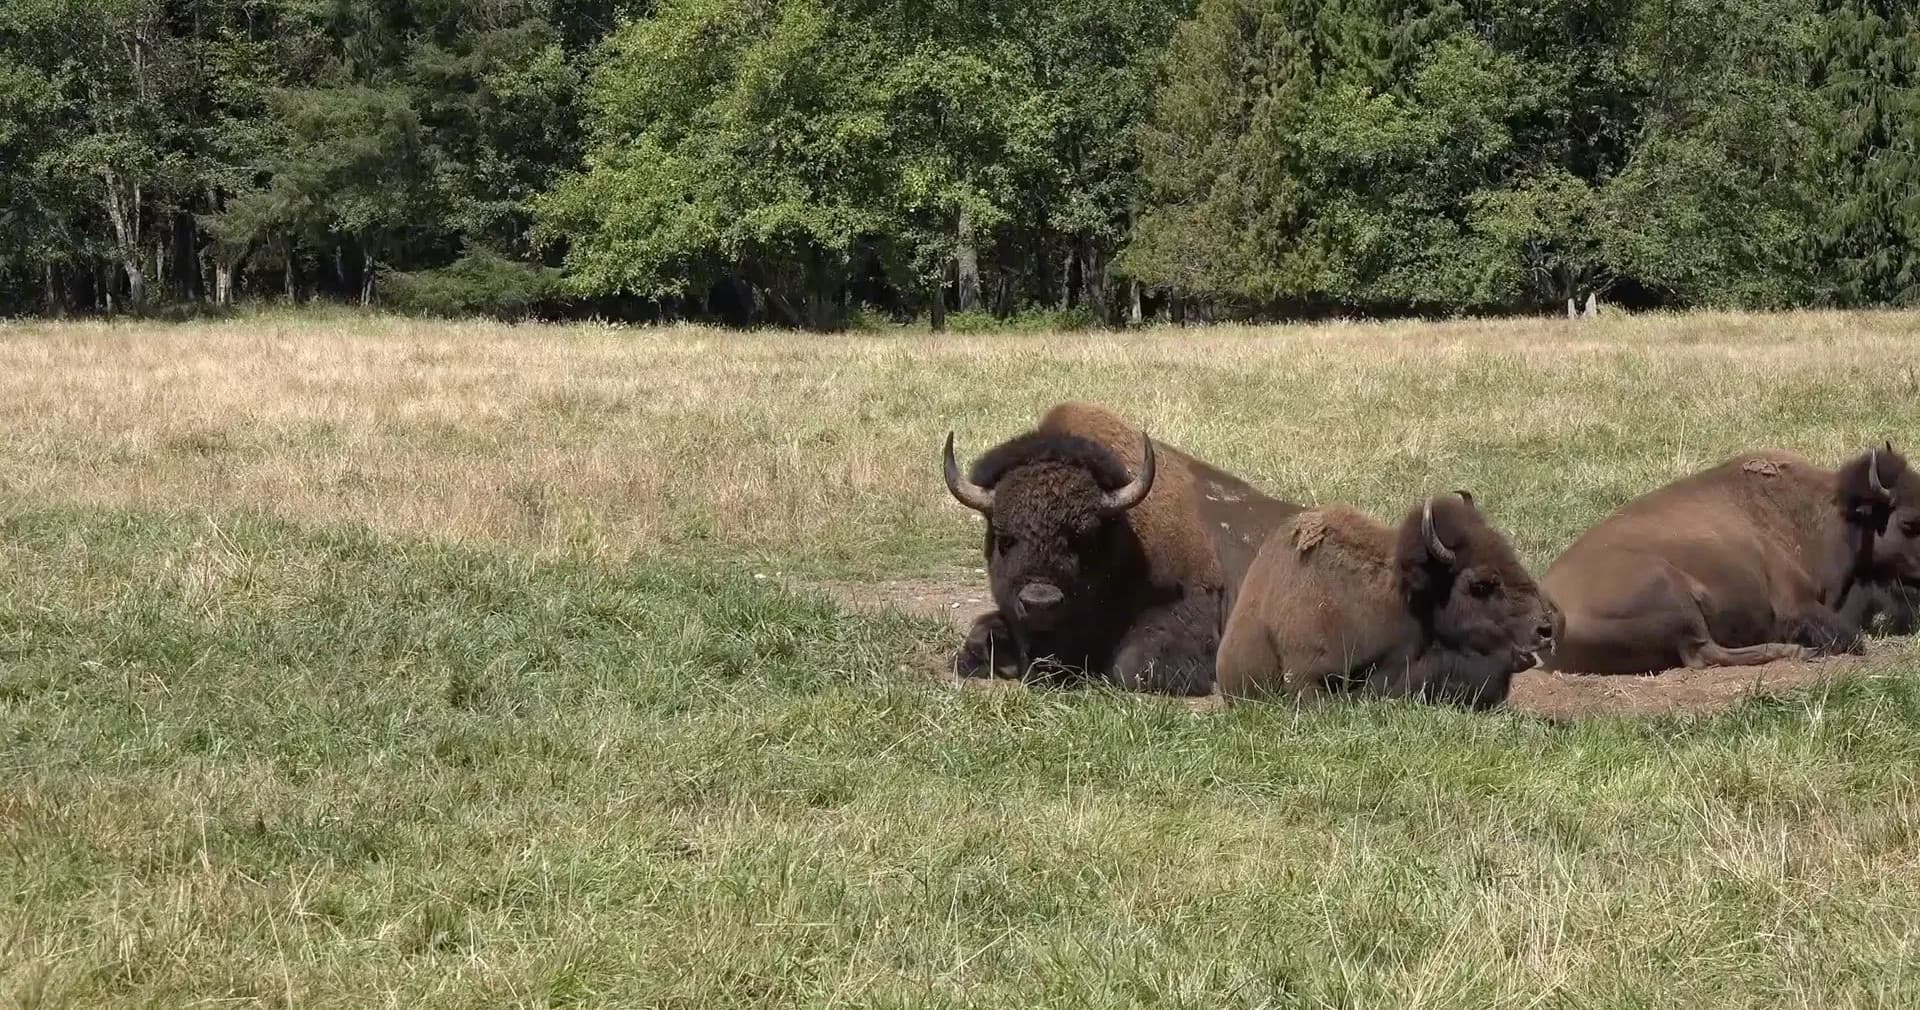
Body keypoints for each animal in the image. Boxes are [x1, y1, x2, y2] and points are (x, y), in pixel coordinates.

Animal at [1541, 444, 1920, 674]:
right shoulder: (1796, 604)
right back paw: (1793, 652)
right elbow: (1853, 638)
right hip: (1672, 593)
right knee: (1705, 654)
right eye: (1908, 522)